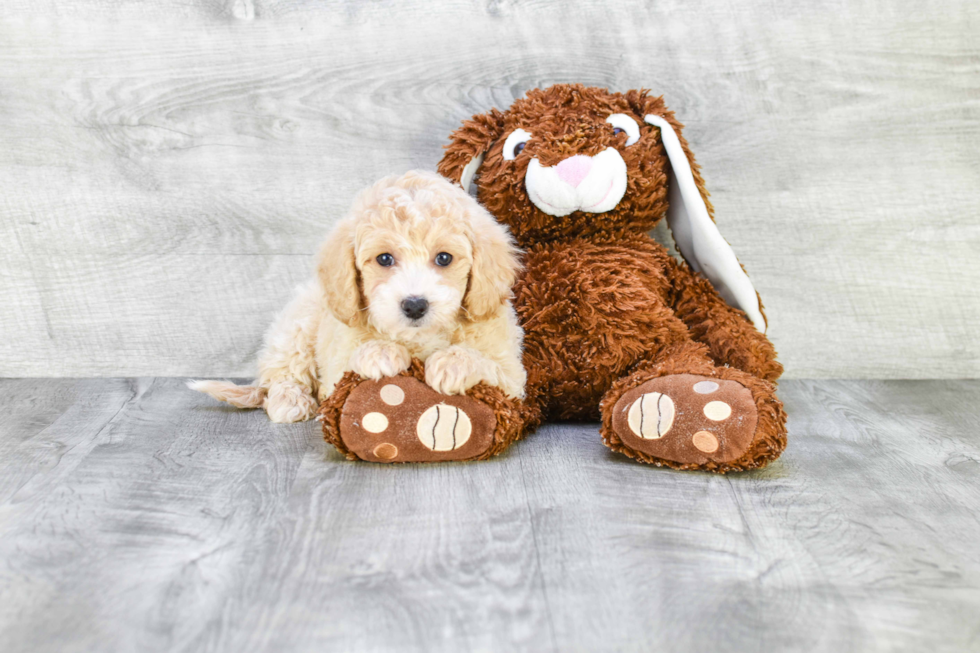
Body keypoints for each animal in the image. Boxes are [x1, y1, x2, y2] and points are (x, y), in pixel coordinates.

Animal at [192, 168, 528, 422]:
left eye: (444, 258)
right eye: (384, 259)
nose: (414, 305)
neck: (419, 338)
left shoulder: (513, 375)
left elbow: (490, 365)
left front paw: (452, 364)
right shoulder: (335, 367)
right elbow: (349, 363)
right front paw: (380, 353)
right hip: (296, 327)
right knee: (282, 373)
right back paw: (289, 400)